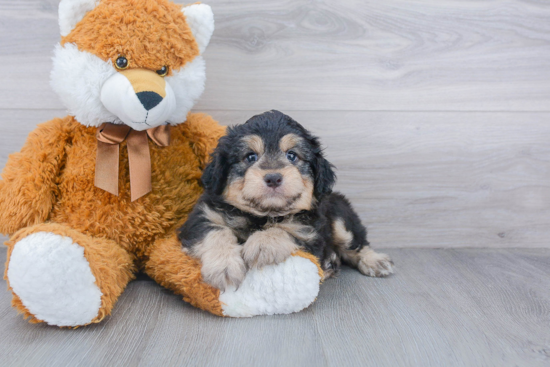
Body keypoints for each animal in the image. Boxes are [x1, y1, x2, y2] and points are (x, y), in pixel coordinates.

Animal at [179, 110, 394, 292]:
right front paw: (224, 266)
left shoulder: (311, 232)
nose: (273, 178)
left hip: (340, 214)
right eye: (250, 157)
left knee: (356, 242)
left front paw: (263, 243)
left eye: (292, 155)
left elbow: (287, 228)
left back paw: (374, 260)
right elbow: (216, 233)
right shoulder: (201, 217)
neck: (261, 215)